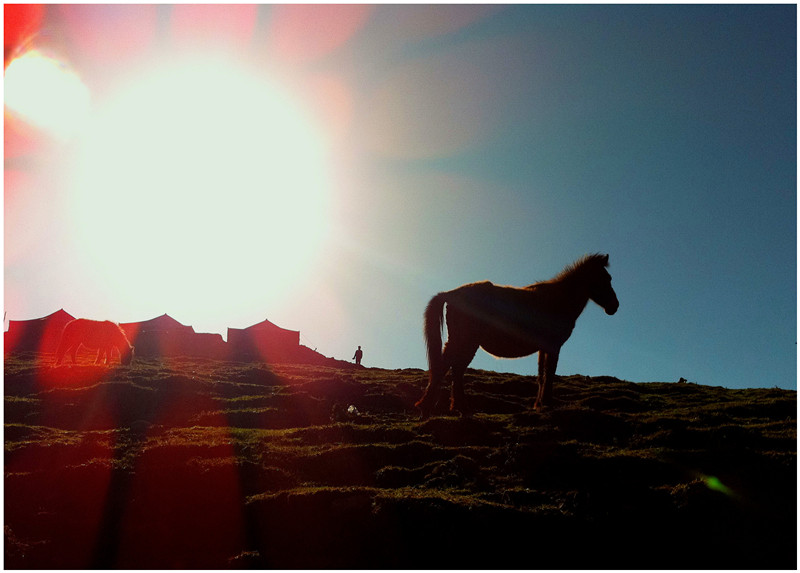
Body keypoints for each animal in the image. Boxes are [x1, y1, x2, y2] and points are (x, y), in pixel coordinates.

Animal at [416, 252, 620, 418]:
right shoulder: (554, 347)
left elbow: (541, 375)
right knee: (449, 369)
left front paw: (539, 405)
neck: (558, 300)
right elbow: (549, 373)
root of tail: (451, 294)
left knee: (452, 370)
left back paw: (452, 408)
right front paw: (547, 404)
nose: (614, 306)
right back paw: (435, 408)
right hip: (465, 342)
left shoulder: (543, 348)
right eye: (606, 278)